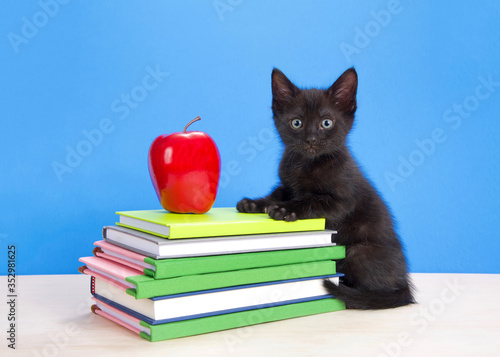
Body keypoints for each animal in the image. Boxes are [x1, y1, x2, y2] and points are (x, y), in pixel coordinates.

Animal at [237, 68, 414, 308]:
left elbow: (312, 199)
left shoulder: (343, 201)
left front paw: (284, 209)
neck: (306, 165)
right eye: (297, 123)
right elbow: (278, 192)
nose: (311, 139)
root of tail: (405, 285)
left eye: (327, 123)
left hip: (357, 251)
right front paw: (255, 203)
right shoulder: (288, 184)